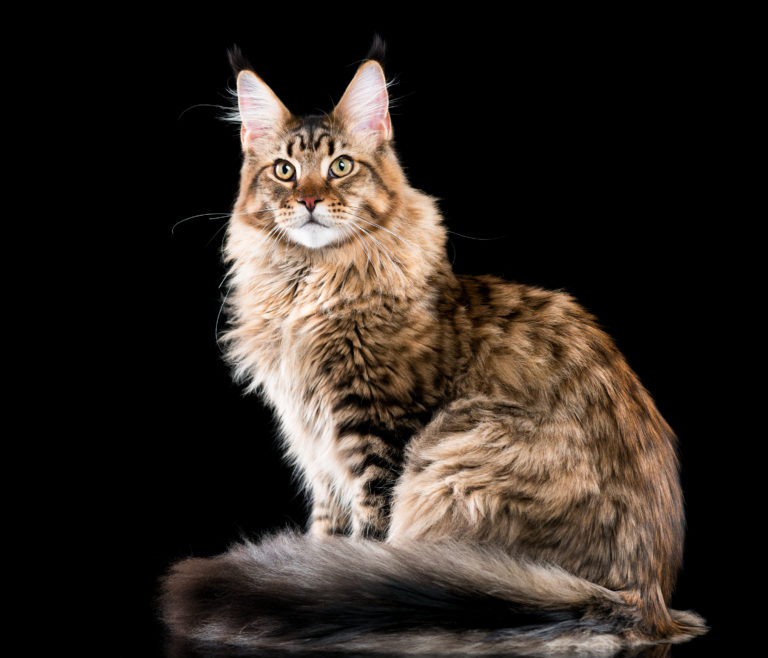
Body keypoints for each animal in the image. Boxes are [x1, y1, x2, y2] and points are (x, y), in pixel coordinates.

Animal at [162, 42, 708, 656]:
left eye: (340, 166)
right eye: (284, 170)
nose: (308, 199)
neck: (309, 286)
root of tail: (647, 600)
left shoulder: (376, 435)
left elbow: (366, 541)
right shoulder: (318, 452)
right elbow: (326, 538)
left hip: (456, 455)